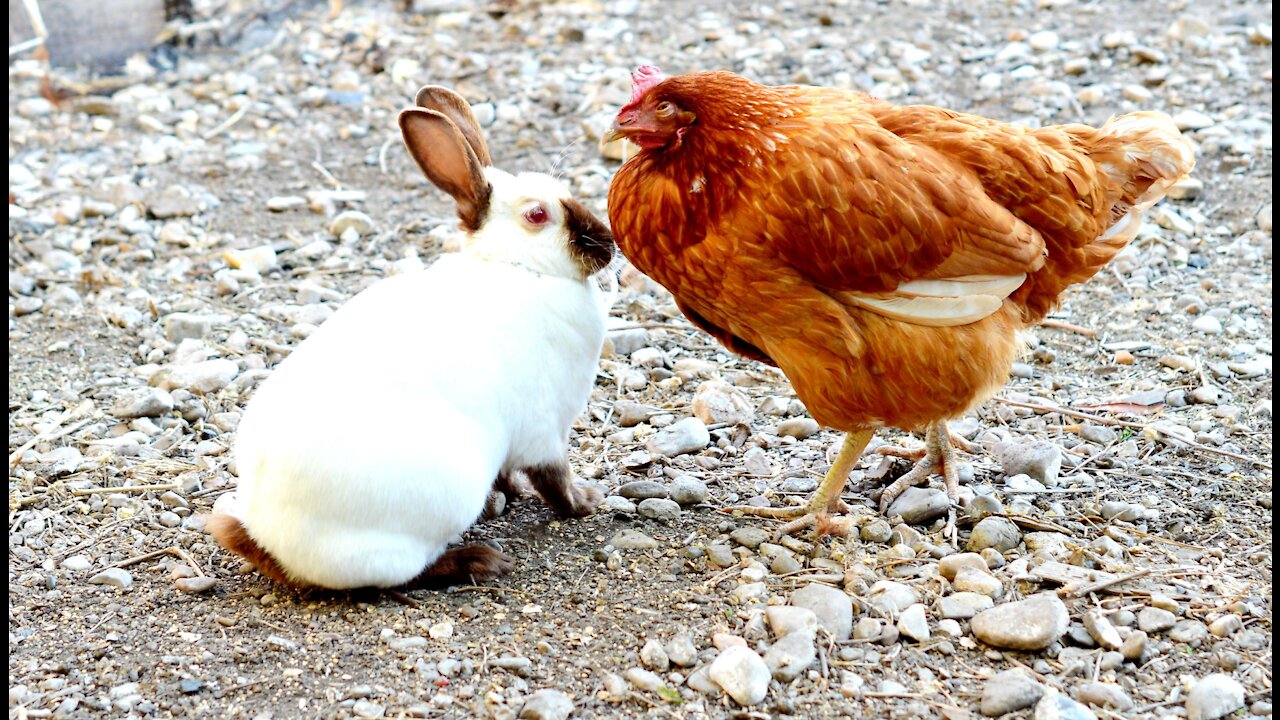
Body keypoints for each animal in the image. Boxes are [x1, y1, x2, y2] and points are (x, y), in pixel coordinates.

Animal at [207, 83, 616, 589]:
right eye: (538, 215)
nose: (609, 243)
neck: (516, 266)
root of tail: (278, 549)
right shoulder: (545, 427)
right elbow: (553, 478)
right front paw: (585, 502)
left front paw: (512, 496)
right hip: (439, 501)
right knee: (401, 573)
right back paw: (478, 561)